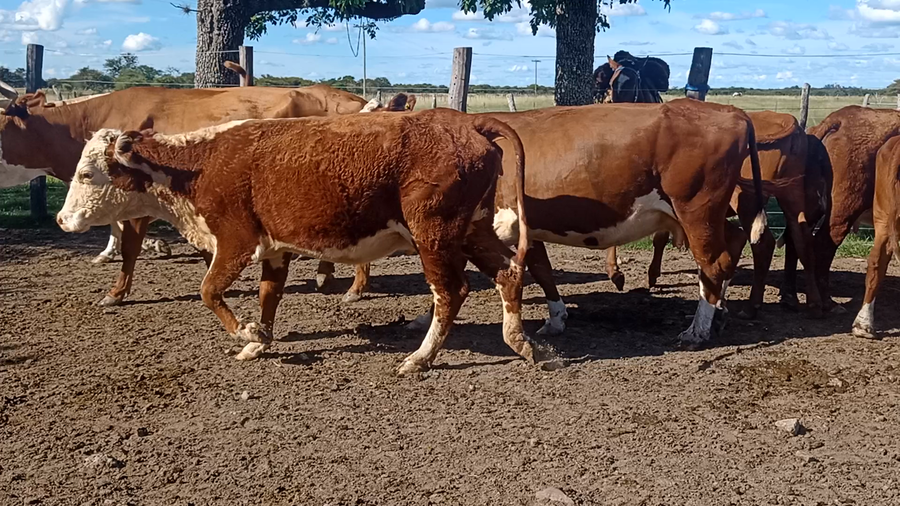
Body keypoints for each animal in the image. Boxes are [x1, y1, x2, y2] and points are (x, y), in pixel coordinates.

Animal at [55, 109, 546, 375]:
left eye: (86, 174)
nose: (62, 219)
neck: (199, 165)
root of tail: (469, 122)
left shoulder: (235, 241)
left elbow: (209, 291)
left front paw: (247, 332)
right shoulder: (275, 249)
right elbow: (269, 295)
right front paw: (258, 341)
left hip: (435, 234)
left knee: (451, 291)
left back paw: (420, 358)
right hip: (472, 228)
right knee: (508, 271)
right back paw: (519, 341)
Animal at [315, 99, 768, 345]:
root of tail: (729, 110)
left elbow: (453, 273)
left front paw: (429, 318)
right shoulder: (524, 230)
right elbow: (542, 270)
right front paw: (556, 318)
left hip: (696, 209)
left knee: (715, 262)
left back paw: (699, 329)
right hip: (710, 212)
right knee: (733, 243)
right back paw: (720, 312)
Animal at [602, 111, 831, 319]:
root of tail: (785, 119)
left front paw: (617, 272)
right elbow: (659, 238)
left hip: (746, 200)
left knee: (763, 244)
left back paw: (752, 305)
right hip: (792, 198)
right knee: (802, 241)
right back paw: (814, 304)